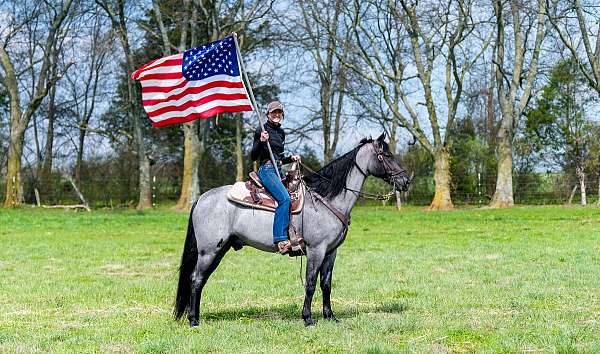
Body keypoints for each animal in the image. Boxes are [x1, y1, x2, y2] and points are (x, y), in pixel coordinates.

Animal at [171, 133, 410, 326]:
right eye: (385, 155)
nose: (406, 180)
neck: (326, 198)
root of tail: (202, 198)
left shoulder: (331, 252)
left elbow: (326, 284)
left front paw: (330, 316)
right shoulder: (316, 249)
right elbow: (311, 283)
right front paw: (308, 318)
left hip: (219, 250)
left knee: (201, 280)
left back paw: (196, 317)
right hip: (209, 251)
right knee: (195, 279)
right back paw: (193, 321)